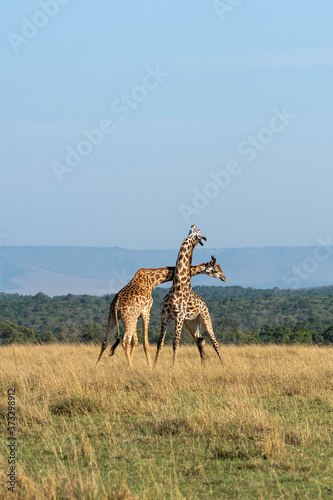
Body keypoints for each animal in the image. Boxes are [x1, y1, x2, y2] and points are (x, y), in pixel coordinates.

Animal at [96, 258, 226, 368]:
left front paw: (129, 365)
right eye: (215, 270)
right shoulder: (146, 310)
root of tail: (116, 305)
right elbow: (145, 343)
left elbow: (136, 340)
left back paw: (96, 366)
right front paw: (149, 366)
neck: (152, 280)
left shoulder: (137, 315)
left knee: (105, 341)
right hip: (128, 318)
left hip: (112, 317)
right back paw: (131, 368)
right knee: (125, 341)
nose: (224, 278)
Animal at [154, 225, 224, 366]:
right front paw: (153, 366)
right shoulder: (164, 316)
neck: (177, 285)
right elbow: (160, 344)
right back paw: (203, 367)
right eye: (192, 230)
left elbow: (175, 343)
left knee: (215, 342)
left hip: (205, 318)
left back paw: (224, 365)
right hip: (191, 323)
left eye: (198, 232)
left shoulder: (179, 316)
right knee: (201, 340)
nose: (193, 226)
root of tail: (204, 304)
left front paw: (173, 367)